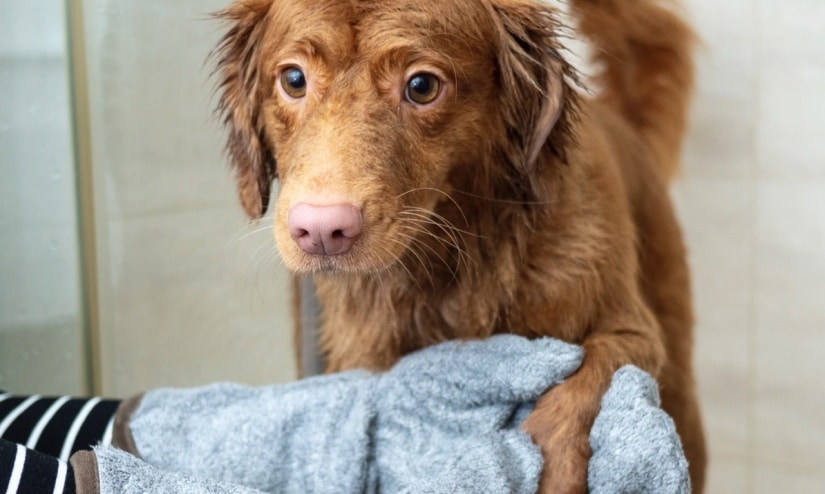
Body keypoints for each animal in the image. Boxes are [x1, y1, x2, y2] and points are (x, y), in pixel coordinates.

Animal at [214, 0, 708, 490]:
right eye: (294, 80)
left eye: (422, 86)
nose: (321, 231)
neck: (448, 271)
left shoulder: (635, 333)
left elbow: (589, 376)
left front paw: (551, 468)